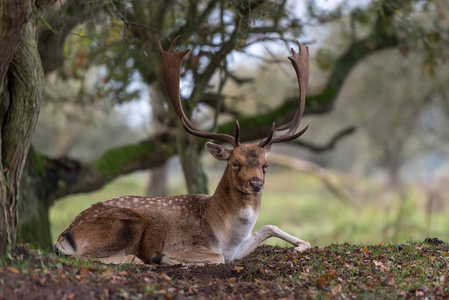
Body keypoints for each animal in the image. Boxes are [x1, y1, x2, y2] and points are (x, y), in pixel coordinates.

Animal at [54, 37, 310, 264]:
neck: (227, 237)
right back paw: (142, 259)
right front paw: (165, 257)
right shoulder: (187, 243)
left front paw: (299, 246)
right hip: (125, 224)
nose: (256, 184)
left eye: (266, 165)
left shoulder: (238, 250)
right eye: (234, 162)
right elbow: (216, 257)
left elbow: (271, 226)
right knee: (84, 257)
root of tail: (65, 234)